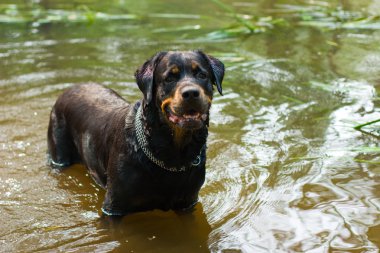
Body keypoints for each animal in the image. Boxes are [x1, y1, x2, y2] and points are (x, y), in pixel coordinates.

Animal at [47, 50, 226, 215]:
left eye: (202, 75)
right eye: (169, 78)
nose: (191, 93)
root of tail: (68, 89)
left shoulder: (188, 202)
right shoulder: (114, 206)